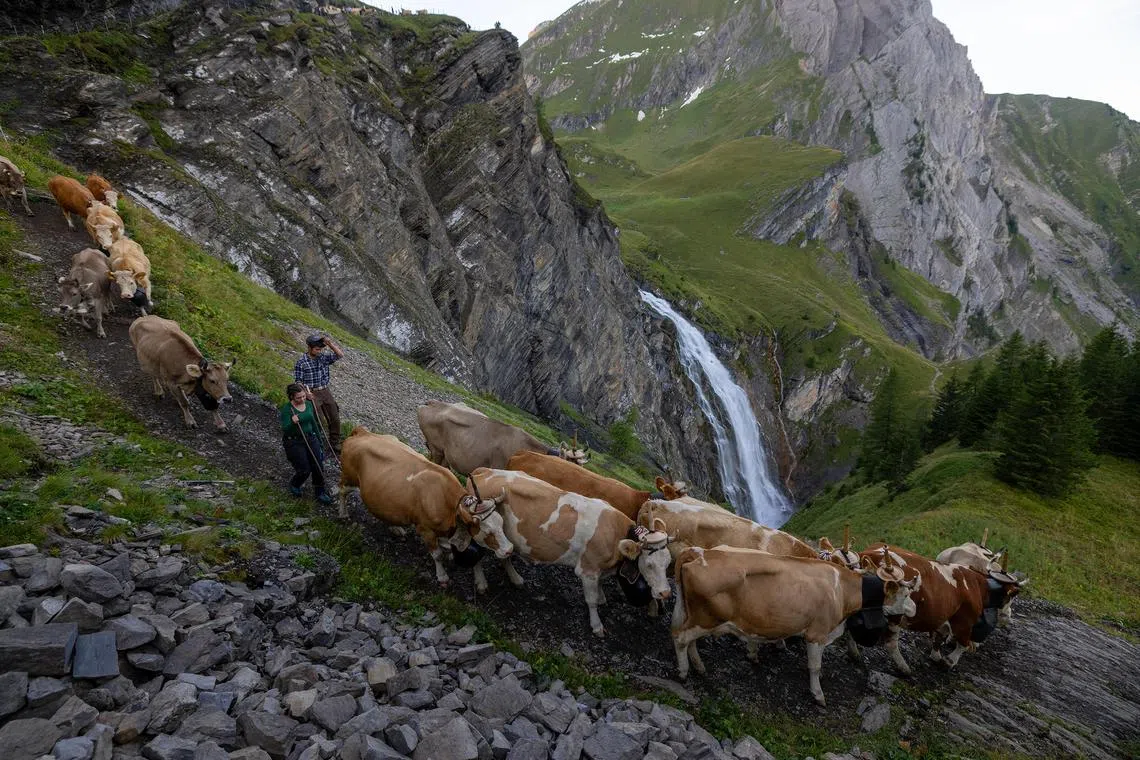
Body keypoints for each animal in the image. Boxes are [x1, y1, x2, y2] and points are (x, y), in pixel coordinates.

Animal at [338, 428, 513, 592]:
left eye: (502, 524)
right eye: (487, 530)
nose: (509, 550)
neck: (450, 506)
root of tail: (362, 432)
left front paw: (478, 579)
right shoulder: (425, 529)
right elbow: (437, 555)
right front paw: (442, 576)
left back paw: (395, 528)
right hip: (349, 477)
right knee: (342, 491)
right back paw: (343, 514)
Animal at [471, 468, 672, 637]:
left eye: (668, 564)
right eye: (649, 565)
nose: (665, 593)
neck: (616, 532)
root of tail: (484, 471)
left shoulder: (599, 568)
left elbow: (600, 587)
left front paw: (602, 597)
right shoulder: (588, 569)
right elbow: (590, 600)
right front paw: (597, 625)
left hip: (504, 537)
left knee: (505, 554)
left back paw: (515, 578)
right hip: (483, 528)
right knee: (478, 555)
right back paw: (481, 583)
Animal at [670, 546, 919, 705]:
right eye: (906, 594)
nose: (915, 609)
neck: (841, 590)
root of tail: (699, 552)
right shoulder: (817, 633)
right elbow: (815, 666)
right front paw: (818, 694)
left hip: (696, 616)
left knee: (689, 641)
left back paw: (699, 667)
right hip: (706, 618)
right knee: (680, 638)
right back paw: (683, 672)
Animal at [855, 544, 1027, 674]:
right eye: (1012, 595)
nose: (1008, 617)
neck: (977, 584)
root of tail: (868, 554)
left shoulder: (944, 615)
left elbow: (939, 635)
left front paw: (936, 655)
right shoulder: (964, 621)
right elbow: (962, 643)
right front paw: (949, 661)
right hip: (895, 612)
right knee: (891, 643)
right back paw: (904, 668)